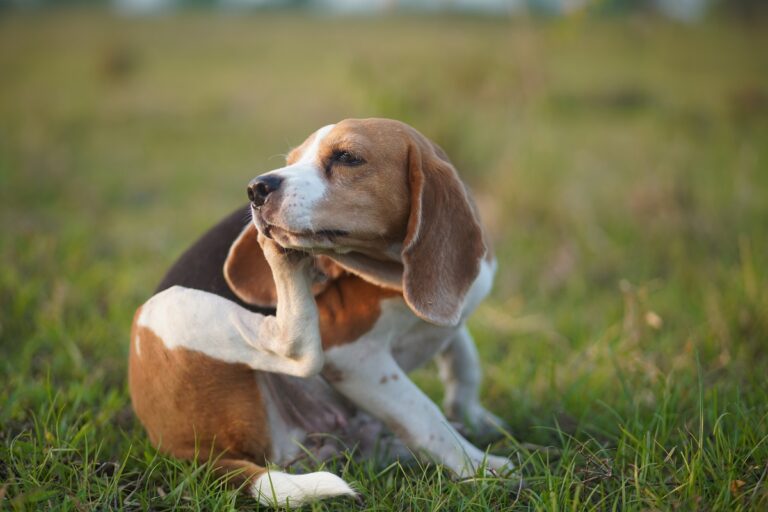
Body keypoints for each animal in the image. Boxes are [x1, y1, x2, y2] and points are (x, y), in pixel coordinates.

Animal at [130, 118, 512, 506]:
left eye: (347, 157)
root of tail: (191, 453)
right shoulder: (351, 355)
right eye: (292, 160)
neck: (393, 269)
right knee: (295, 350)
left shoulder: (453, 319)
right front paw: (478, 465)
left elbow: (464, 363)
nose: (256, 189)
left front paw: (474, 418)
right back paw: (279, 255)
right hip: (169, 307)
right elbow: (425, 415)